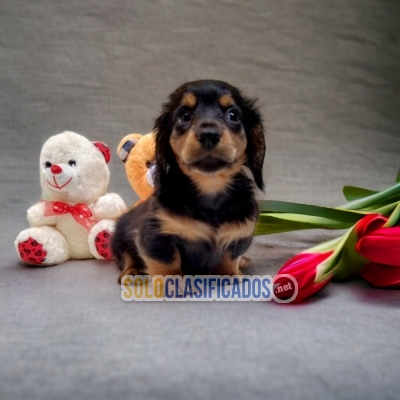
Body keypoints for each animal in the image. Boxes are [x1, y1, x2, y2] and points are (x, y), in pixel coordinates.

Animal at [111, 79, 266, 282]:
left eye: (233, 115)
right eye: (184, 116)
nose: (209, 134)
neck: (210, 187)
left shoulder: (241, 231)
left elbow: (230, 256)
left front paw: (230, 274)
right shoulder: (156, 235)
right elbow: (168, 262)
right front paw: (172, 282)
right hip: (118, 236)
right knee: (125, 256)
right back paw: (132, 272)